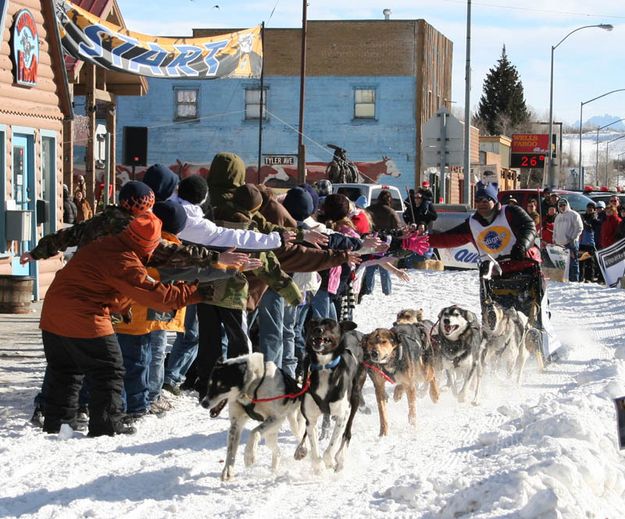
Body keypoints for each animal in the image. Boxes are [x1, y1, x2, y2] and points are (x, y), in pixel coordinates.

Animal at [294, 318, 366, 474]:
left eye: (330, 324)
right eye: (313, 323)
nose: (318, 330)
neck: (324, 366)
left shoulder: (342, 414)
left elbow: (332, 446)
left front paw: (330, 461)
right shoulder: (311, 418)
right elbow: (314, 446)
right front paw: (318, 465)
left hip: (355, 397)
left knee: (347, 432)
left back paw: (340, 459)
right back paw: (301, 448)